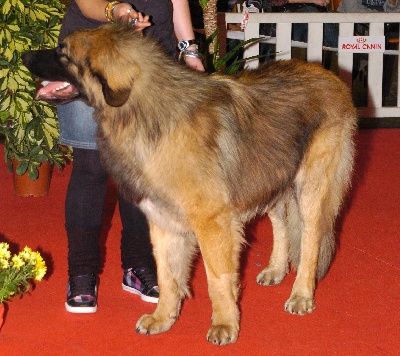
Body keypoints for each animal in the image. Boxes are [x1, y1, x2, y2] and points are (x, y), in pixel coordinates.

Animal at [22, 22, 356, 344]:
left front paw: (224, 325)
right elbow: (167, 275)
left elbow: (217, 279)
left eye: (62, 53)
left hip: (311, 187)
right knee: (282, 224)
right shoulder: (162, 219)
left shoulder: (212, 223)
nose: (24, 55)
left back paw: (301, 294)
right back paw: (276, 269)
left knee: (311, 238)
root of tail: (330, 76)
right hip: (268, 178)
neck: (145, 114)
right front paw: (163, 318)